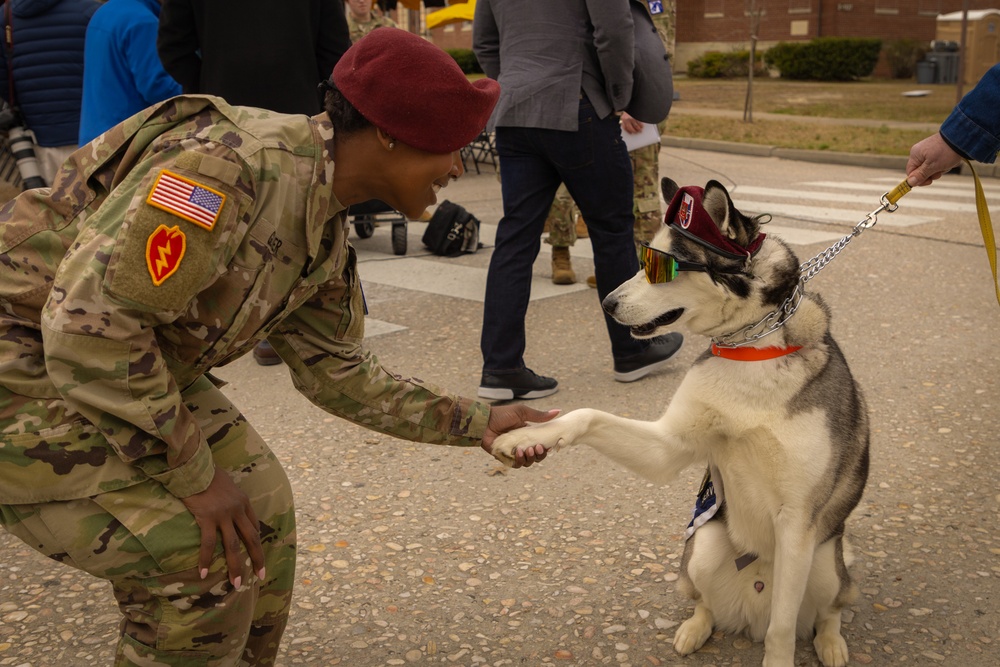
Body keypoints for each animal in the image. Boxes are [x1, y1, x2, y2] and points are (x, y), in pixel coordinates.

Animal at [492, 180, 868, 667]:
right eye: (643, 257)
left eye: (661, 267)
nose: (607, 303)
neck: (751, 349)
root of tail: (752, 609)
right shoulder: (667, 447)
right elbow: (586, 415)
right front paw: (526, 435)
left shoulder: (798, 520)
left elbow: (782, 631)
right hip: (702, 547)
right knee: (705, 602)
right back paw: (694, 629)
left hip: (822, 562)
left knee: (828, 609)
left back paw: (830, 642)